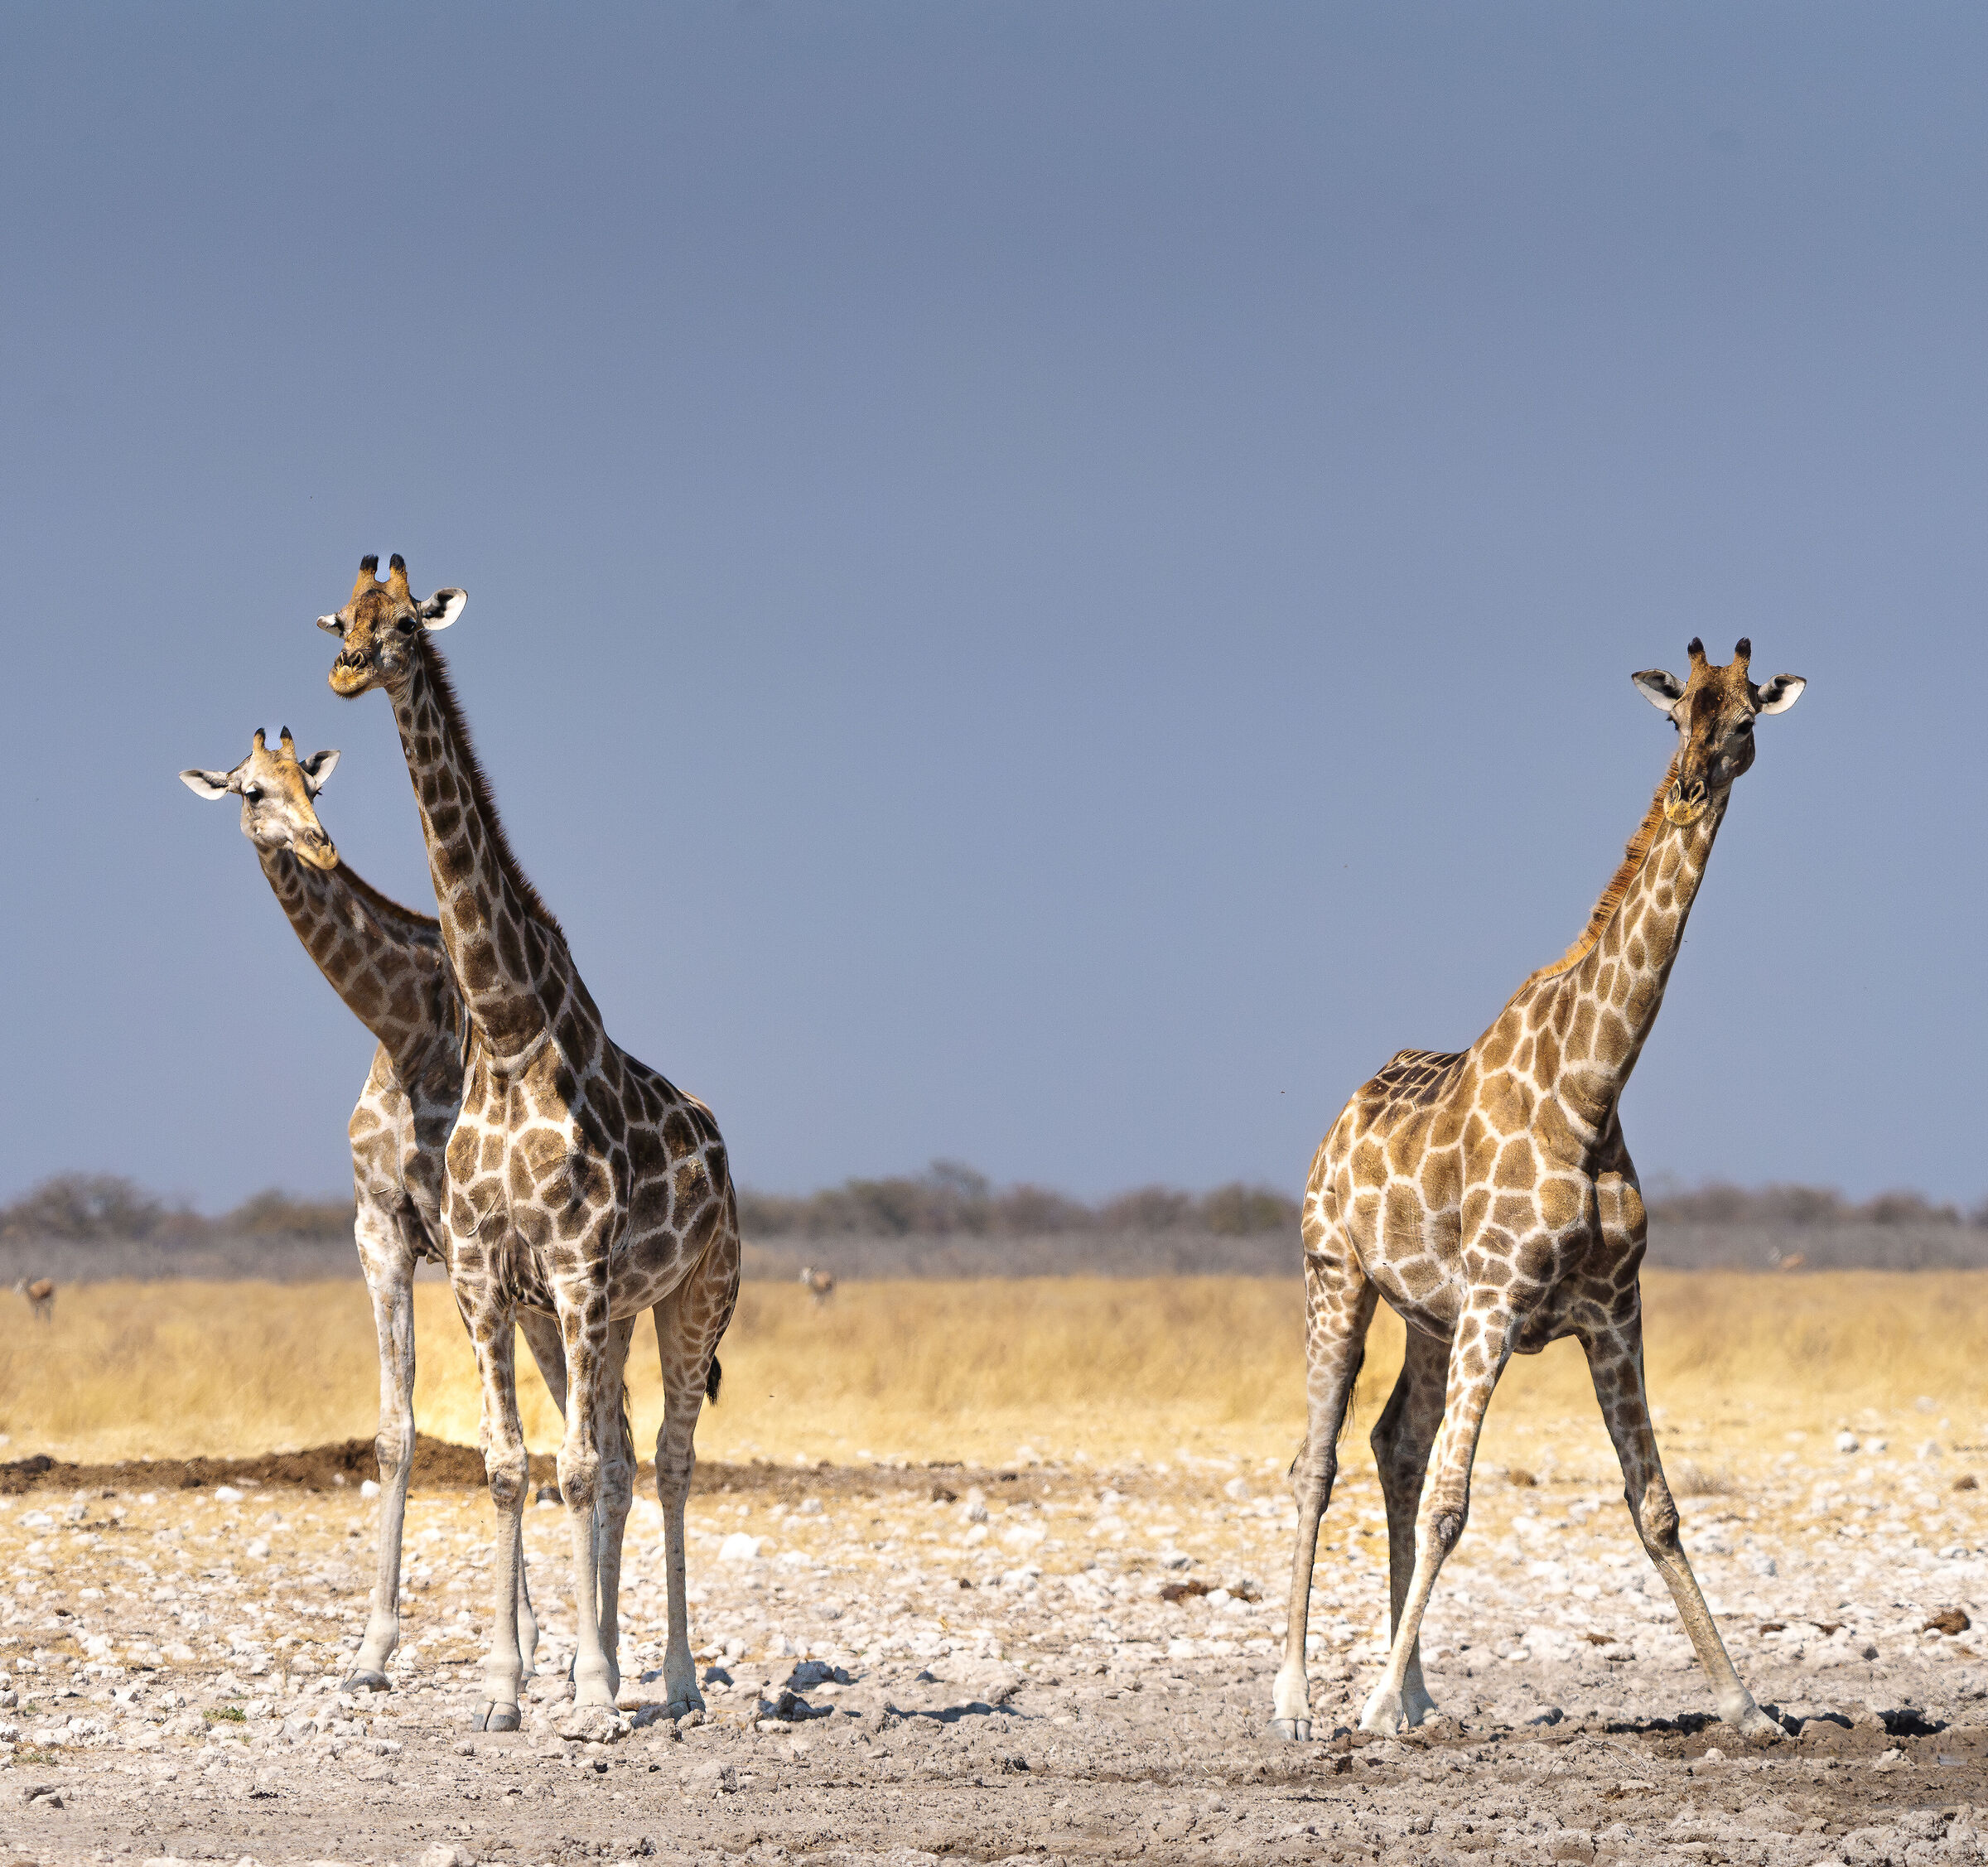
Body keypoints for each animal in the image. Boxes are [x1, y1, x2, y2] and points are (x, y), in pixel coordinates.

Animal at [180, 726, 578, 1691]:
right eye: (250, 791)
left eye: (311, 786)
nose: (319, 845)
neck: (404, 1030)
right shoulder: (379, 1232)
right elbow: (399, 1431)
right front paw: (371, 1649)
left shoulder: (465, 1242)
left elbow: (493, 1432)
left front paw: (511, 1648)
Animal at [317, 555, 740, 1732]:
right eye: (345, 616)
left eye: (407, 625)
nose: (347, 669)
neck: (507, 1033)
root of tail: (723, 1147)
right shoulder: (481, 1272)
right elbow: (513, 1465)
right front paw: (508, 1689)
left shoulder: (578, 1265)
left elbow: (574, 1468)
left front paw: (592, 1691)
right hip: (601, 1315)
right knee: (623, 1454)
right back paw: (619, 1663)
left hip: (692, 1297)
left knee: (671, 1459)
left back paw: (674, 1681)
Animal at [1271, 638, 1805, 1745]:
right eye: (1676, 716)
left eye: (1743, 721)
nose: (1689, 790)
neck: (1593, 1088)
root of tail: (1339, 1116)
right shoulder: (1499, 1297)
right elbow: (1454, 1502)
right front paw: (1367, 1703)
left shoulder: (1612, 1309)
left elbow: (1657, 1507)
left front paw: (1745, 1705)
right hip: (1335, 1276)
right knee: (1320, 1461)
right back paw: (1299, 1699)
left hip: (1428, 1318)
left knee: (1394, 1443)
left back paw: (1422, 1695)